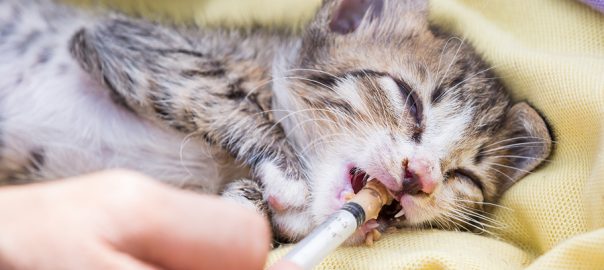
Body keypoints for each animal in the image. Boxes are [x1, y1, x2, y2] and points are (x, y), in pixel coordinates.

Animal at [0, 0, 552, 245]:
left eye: (463, 177)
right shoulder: (126, 41)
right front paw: (286, 175)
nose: (424, 177)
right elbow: (220, 94)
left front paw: (254, 206)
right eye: (410, 101)